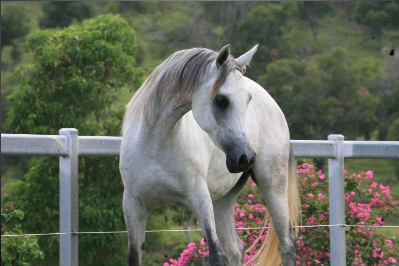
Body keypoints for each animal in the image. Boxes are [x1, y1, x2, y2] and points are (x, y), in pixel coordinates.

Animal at [120, 44, 302, 264]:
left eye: (248, 99)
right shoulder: (133, 207)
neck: (156, 146)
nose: (247, 157)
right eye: (221, 100)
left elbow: (216, 255)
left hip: (272, 185)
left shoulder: (200, 201)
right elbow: (133, 257)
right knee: (235, 250)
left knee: (286, 244)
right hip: (223, 200)